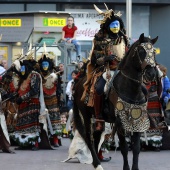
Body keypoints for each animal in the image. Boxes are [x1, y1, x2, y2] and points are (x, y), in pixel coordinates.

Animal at [72, 33, 158, 170]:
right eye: (141, 51)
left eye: (154, 51)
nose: (151, 74)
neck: (130, 88)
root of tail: (79, 83)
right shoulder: (120, 122)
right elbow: (124, 148)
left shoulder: (137, 121)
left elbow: (136, 148)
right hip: (86, 115)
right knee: (89, 138)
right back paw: (97, 164)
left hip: (99, 119)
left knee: (96, 136)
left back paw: (96, 162)